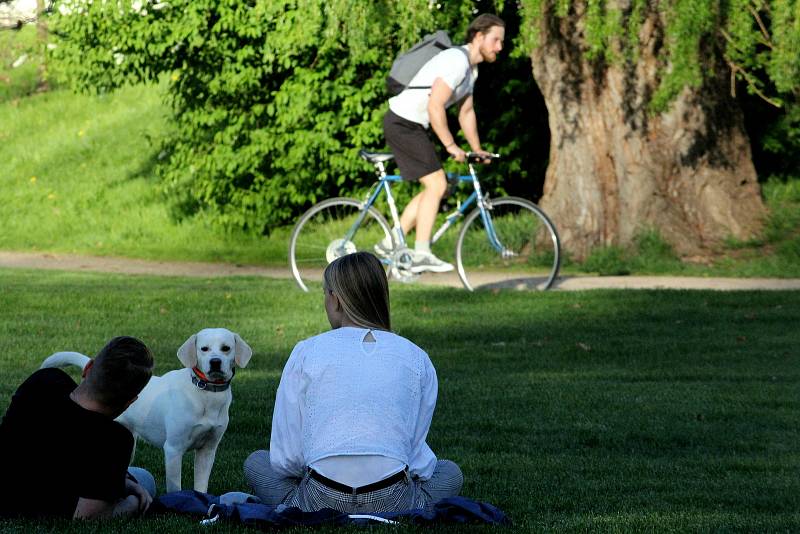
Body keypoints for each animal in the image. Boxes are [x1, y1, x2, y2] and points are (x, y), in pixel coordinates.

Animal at [40, 328, 252, 496]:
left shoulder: (208, 450)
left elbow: (201, 485)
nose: (215, 362)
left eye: (226, 348)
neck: (206, 394)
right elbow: (175, 486)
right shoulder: (173, 448)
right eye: (204, 349)